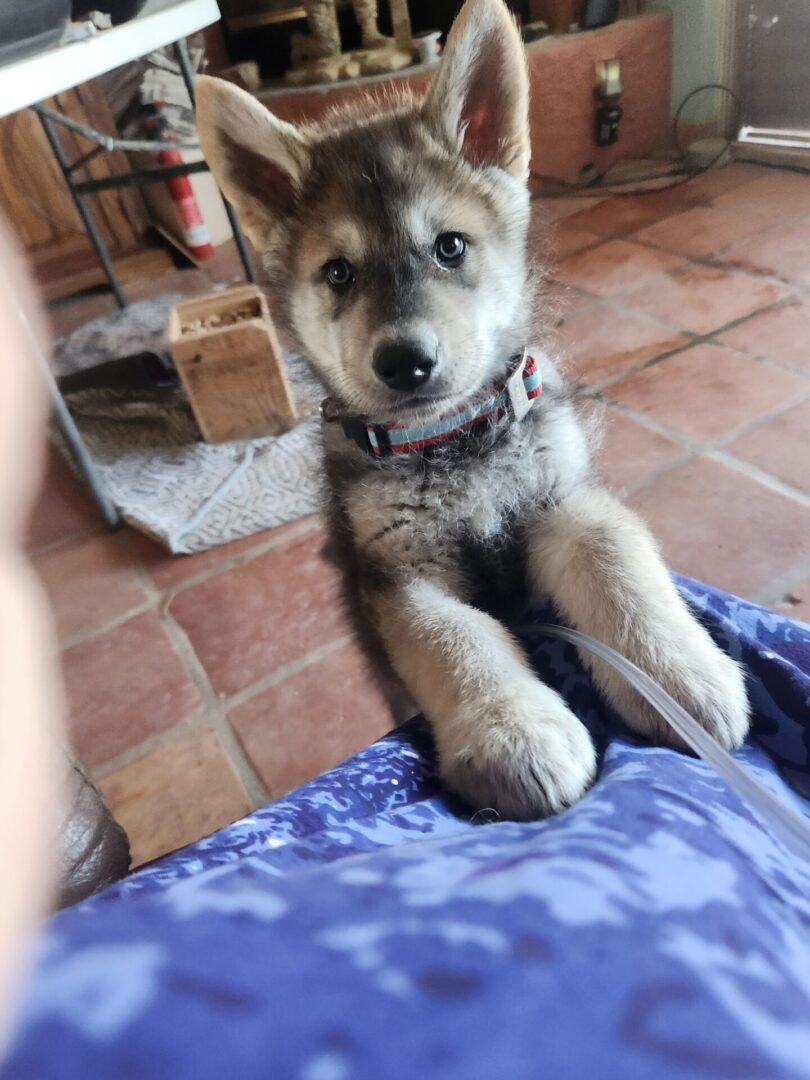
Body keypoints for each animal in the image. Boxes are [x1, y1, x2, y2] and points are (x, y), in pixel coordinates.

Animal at [195, 0, 747, 812]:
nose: (404, 362)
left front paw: (682, 673)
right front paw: (512, 731)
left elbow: (619, 564)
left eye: (450, 247)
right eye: (338, 273)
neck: (454, 444)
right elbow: (456, 640)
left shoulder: (566, 501)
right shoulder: (402, 573)